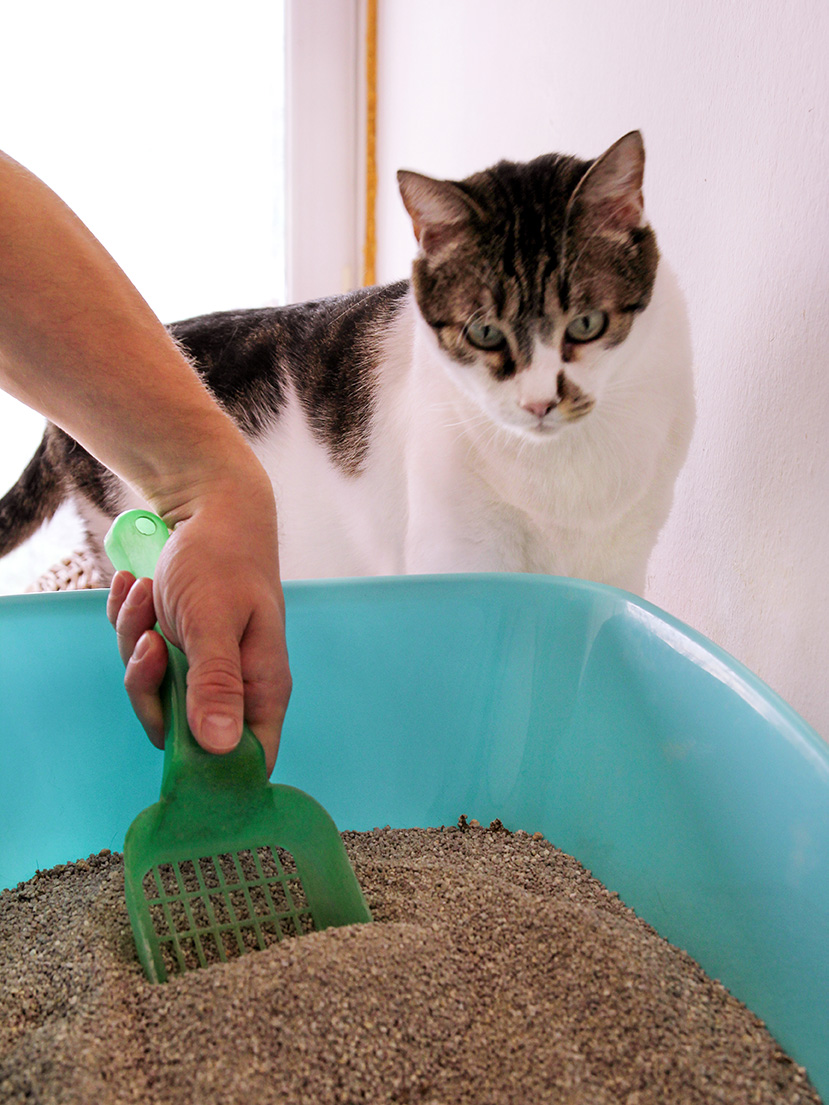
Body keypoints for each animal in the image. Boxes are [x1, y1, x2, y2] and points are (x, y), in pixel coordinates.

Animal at [0, 133, 694, 601]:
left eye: (587, 324)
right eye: (484, 332)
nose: (540, 403)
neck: (564, 479)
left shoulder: (623, 559)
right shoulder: (456, 550)